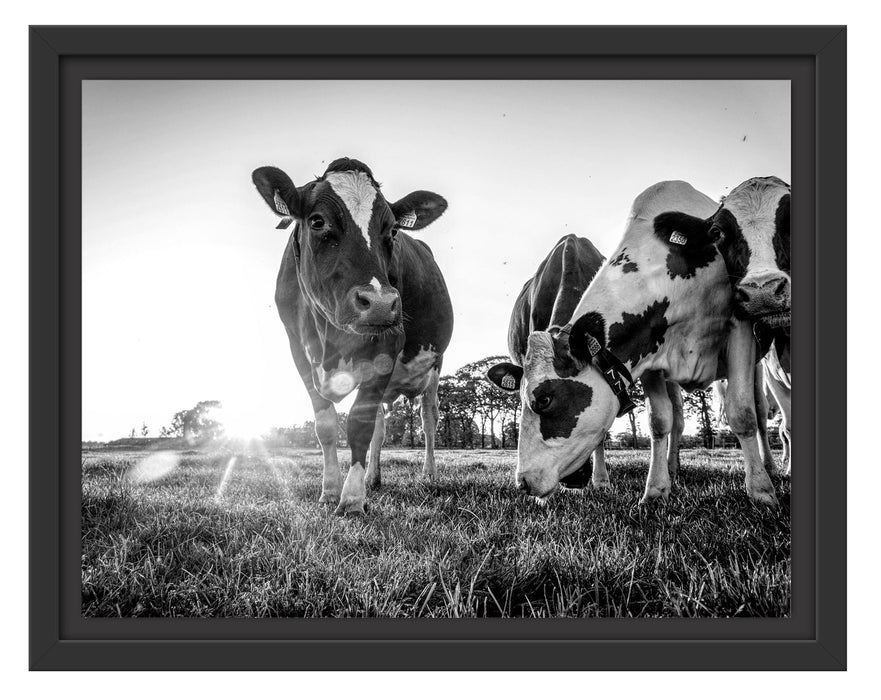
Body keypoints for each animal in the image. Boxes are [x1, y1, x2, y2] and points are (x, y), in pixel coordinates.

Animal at [251, 158, 453, 515]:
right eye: (317, 221)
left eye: (393, 230)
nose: (381, 303)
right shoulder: (298, 351)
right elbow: (327, 426)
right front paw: (331, 491)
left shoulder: (388, 344)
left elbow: (359, 425)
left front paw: (351, 500)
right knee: (381, 427)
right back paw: (373, 477)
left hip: (434, 365)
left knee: (429, 418)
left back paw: (428, 475)